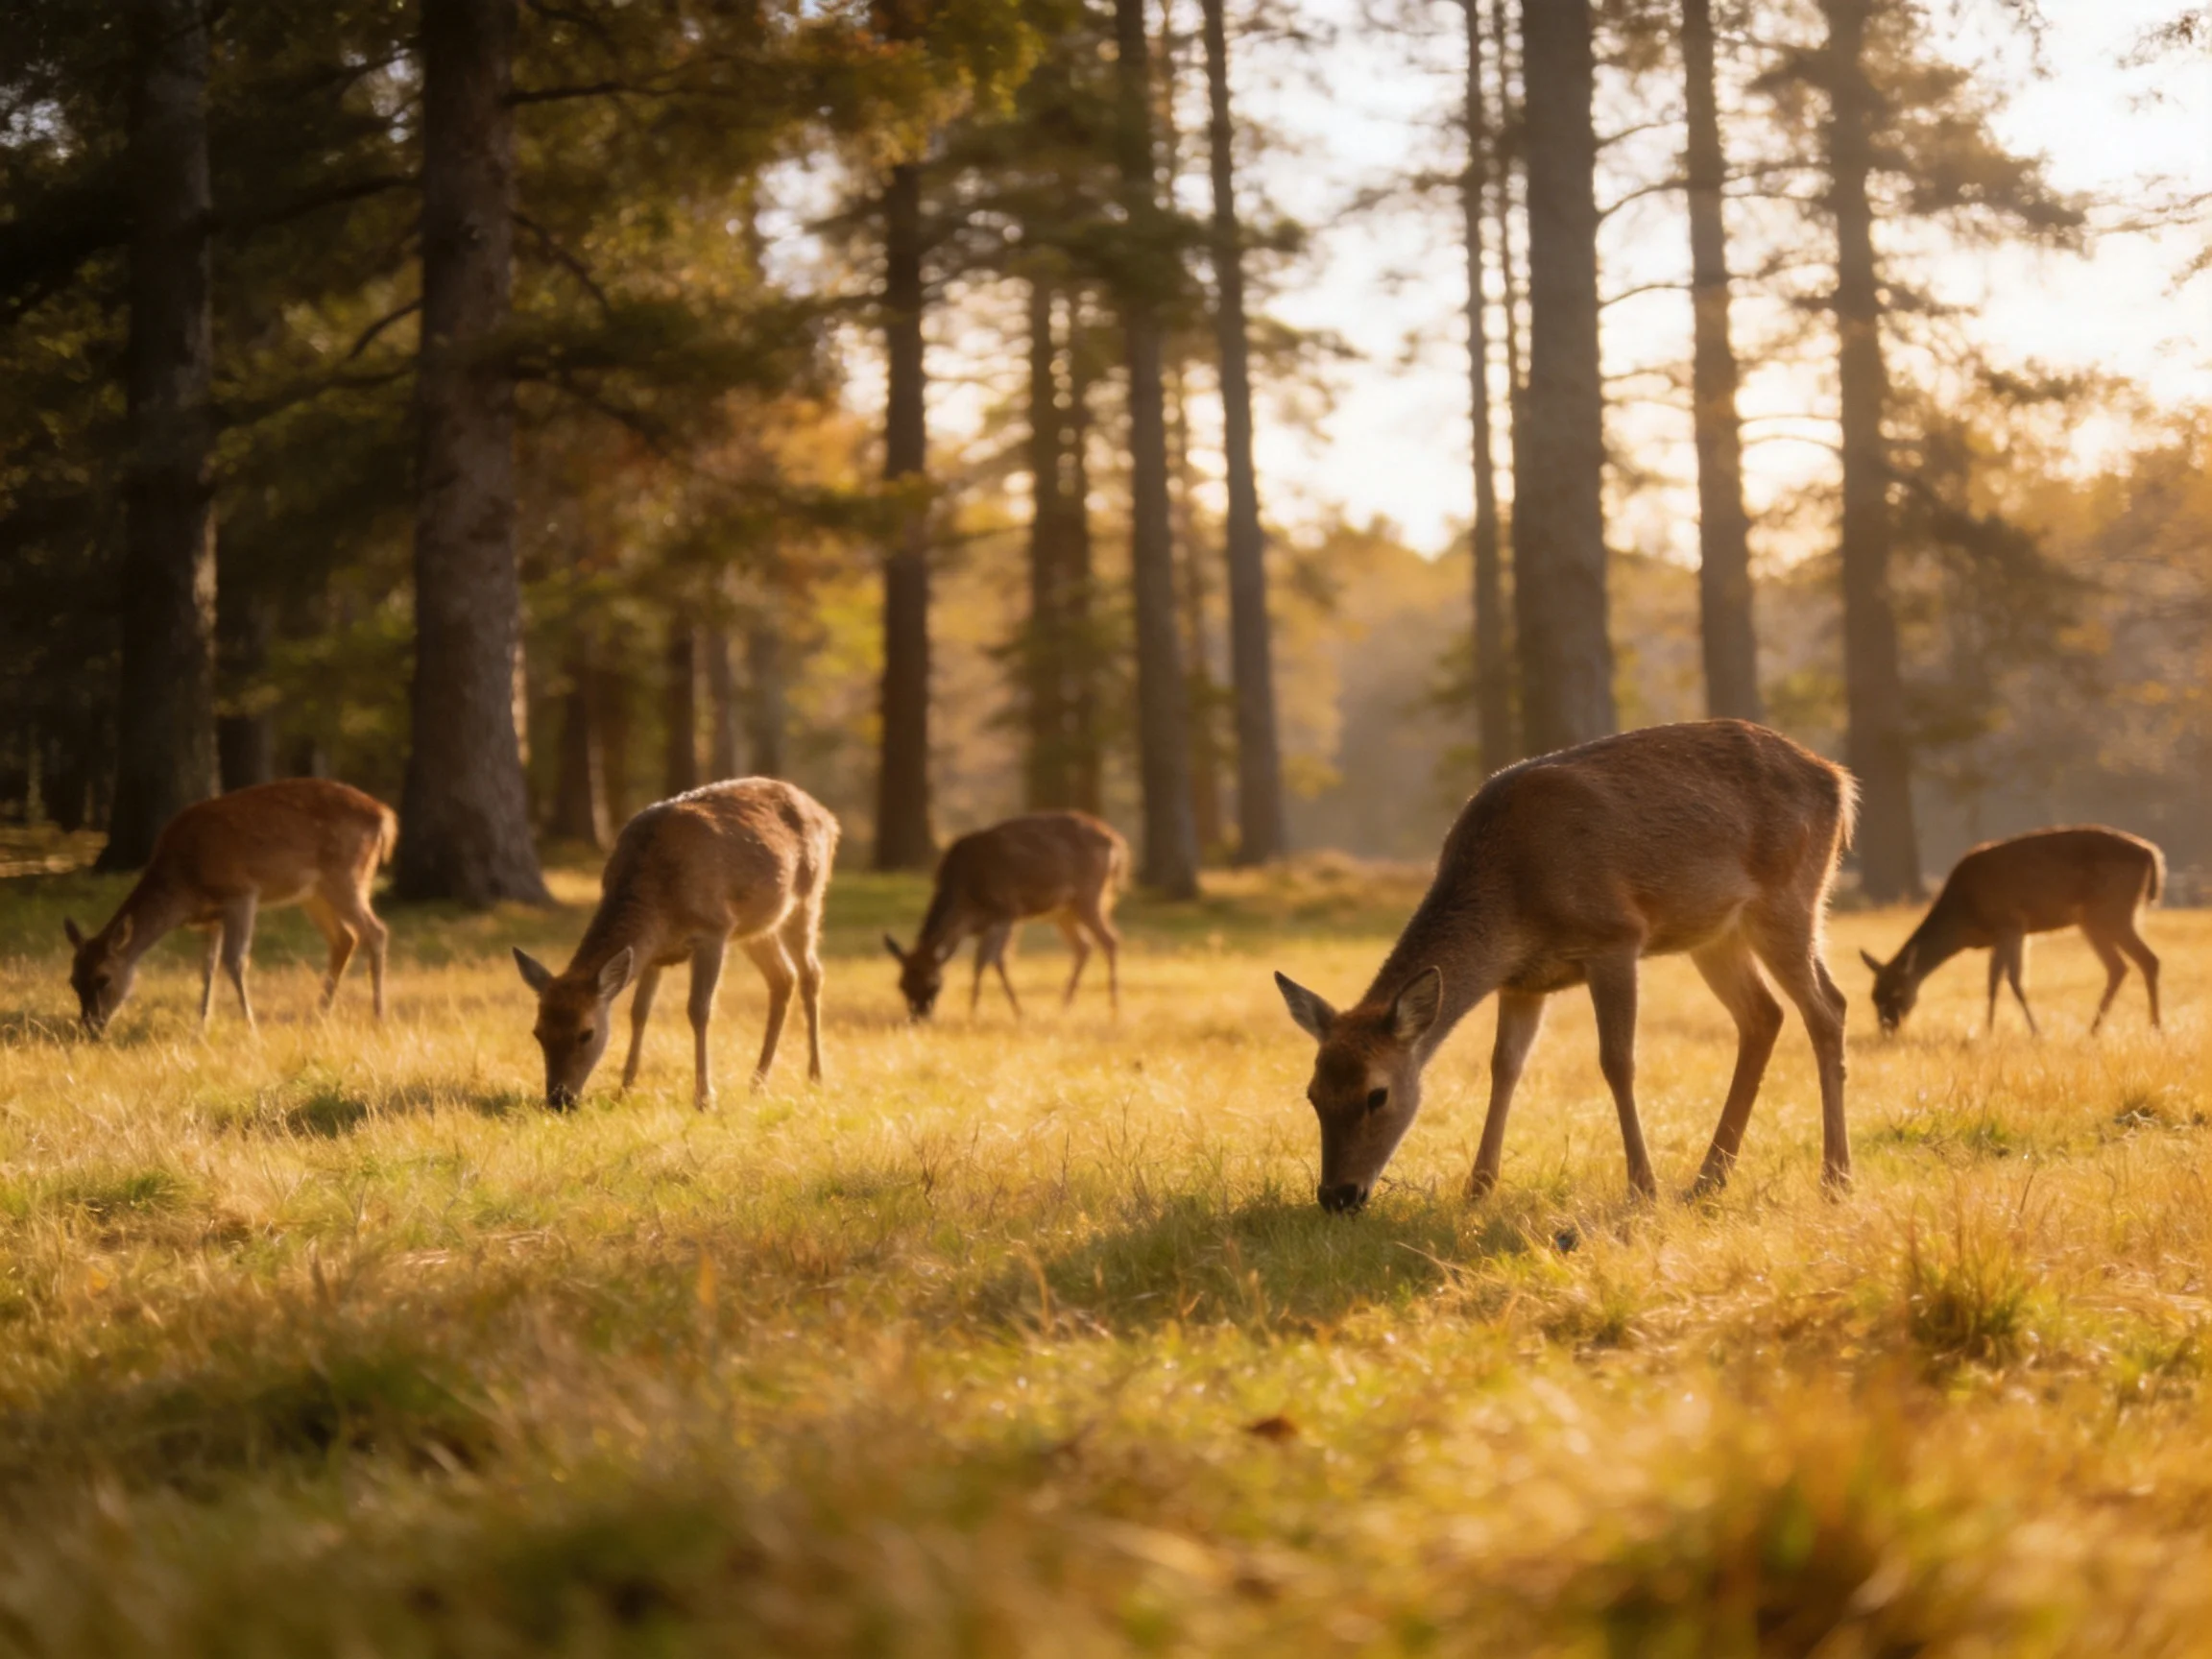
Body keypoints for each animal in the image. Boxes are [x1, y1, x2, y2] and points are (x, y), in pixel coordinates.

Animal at [64, 779, 396, 1037]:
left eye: (103, 978)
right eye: (73, 981)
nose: (90, 1028)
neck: (184, 884)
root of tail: (384, 816)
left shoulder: (241, 893)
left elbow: (234, 960)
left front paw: (251, 1028)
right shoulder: (212, 915)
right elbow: (207, 966)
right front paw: (200, 1027)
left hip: (346, 876)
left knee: (376, 931)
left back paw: (378, 1018)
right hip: (314, 894)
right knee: (345, 938)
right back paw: (318, 1016)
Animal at [512, 778, 839, 1109]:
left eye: (586, 1033)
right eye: (537, 1032)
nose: (558, 1099)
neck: (661, 902)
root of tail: (828, 818)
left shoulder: (714, 929)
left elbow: (699, 1010)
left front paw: (704, 1098)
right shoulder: (652, 953)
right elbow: (639, 1011)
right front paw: (624, 1089)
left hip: (808, 898)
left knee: (811, 974)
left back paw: (815, 1075)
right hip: (757, 927)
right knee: (783, 977)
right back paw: (758, 1081)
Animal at [882, 811, 1127, 1021]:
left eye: (934, 984)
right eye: (901, 984)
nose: (918, 1018)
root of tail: (1117, 842)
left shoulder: (1007, 911)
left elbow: (991, 960)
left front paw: (985, 1011)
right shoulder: (985, 923)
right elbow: (988, 961)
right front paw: (994, 1010)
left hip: (1091, 894)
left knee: (1110, 939)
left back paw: (1114, 1009)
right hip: (1064, 910)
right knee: (1084, 946)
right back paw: (1064, 1006)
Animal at [1273, 720, 1856, 1214]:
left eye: (1377, 1094)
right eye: (1313, 1094)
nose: (1337, 1195)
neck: (1515, 905)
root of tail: (1839, 781)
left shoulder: (1616, 936)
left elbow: (1617, 1062)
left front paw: (1642, 1188)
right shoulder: (1523, 983)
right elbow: (1504, 1066)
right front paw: (1477, 1188)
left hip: (1789, 898)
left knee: (1828, 1007)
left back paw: (1835, 1179)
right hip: (1716, 933)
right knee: (1764, 1015)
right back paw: (1708, 1181)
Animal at [1859, 825, 2164, 1037]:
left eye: (1897, 993)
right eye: (1873, 996)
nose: (1887, 1029)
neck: (1965, 918)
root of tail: (2151, 854)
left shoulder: (2012, 923)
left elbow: (2014, 980)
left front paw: (2035, 1032)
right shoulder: (2001, 934)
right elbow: (1993, 980)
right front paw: (1988, 1030)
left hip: (2112, 911)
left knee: (2147, 960)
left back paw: (2155, 1029)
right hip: (2097, 919)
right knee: (2119, 966)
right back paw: (2094, 1030)